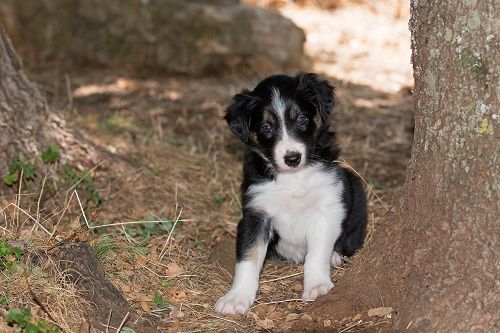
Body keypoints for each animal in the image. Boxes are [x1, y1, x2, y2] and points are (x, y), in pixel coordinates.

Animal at [215, 72, 368, 314]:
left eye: (302, 119)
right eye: (266, 127)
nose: (292, 158)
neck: (293, 177)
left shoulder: (327, 208)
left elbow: (317, 253)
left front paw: (317, 286)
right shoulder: (256, 213)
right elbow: (248, 257)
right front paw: (236, 297)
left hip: (356, 191)